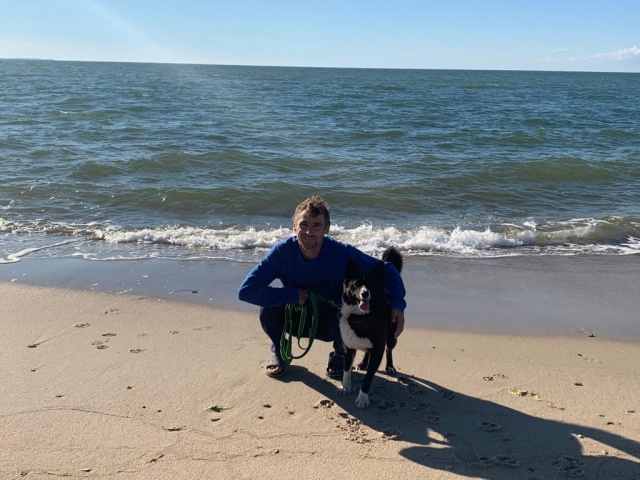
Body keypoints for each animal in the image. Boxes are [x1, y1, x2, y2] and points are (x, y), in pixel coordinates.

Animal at [338, 246, 403, 408]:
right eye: (356, 284)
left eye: (372, 284)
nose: (365, 293)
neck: (360, 316)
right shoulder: (349, 347)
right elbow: (346, 370)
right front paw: (345, 387)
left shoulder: (378, 351)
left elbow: (368, 378)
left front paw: (362, 398)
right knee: (367, 351)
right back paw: (363, 363)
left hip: (392, 336)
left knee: (389, 350)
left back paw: (390, 367)